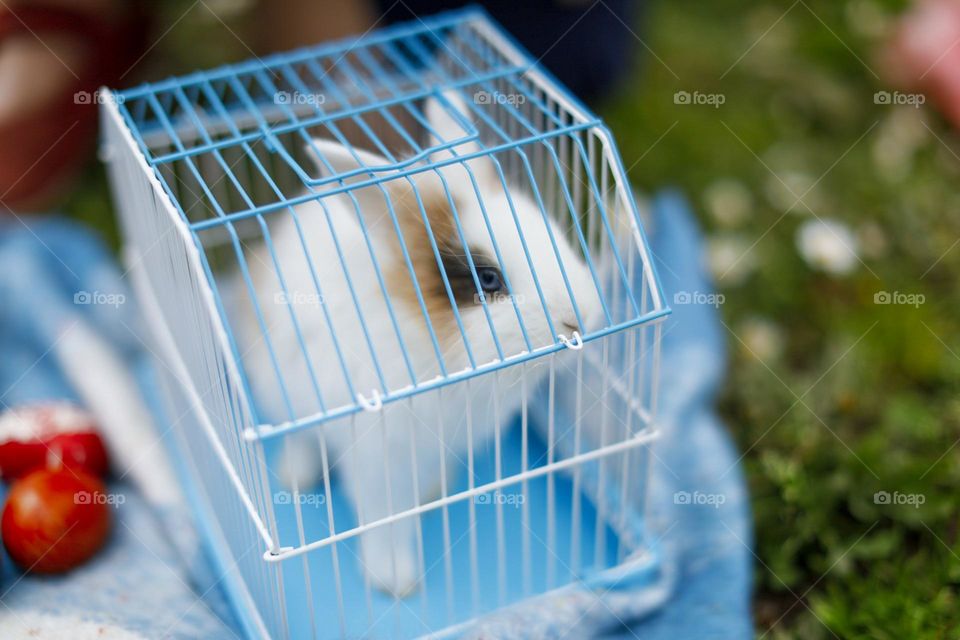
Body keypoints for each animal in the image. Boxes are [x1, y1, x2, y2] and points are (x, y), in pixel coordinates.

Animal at [238, 90, 604, 596]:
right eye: (488, 280)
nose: (578, 317)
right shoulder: (379, 459)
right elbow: (384, 520)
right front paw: (394, 580)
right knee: (304, 438)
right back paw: (295, 477)